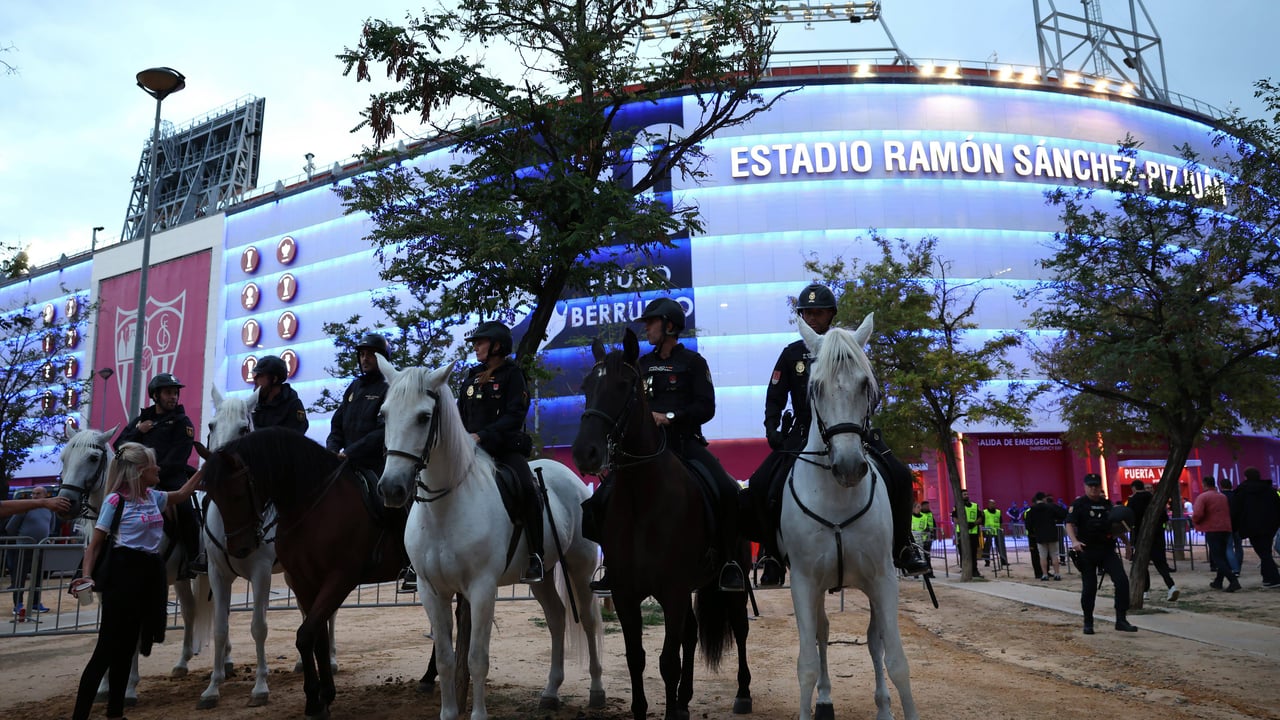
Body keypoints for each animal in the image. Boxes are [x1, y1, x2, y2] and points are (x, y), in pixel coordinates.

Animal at [197, 387, 337, 710]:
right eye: (211, 425)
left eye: (243, 428)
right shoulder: (217, 574)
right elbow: (221, 628)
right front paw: (212, 688)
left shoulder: (260, 573)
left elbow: (258, 627)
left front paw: (260, 687)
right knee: (308, 610)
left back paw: (333, 659)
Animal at [198, 425, 420, 719]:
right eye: (212, 495)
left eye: (236, 495)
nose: (240, 548)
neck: (314, 505)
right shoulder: (304, 581)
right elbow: (316, 638)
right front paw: (324, 696)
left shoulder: (339, 578)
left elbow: (304, 636)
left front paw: (313, 701)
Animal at [375, 355, 606, 720]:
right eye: (384, 414)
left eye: (424, 417)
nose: (391, 489)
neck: (445, 507)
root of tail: (573, 478)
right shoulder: (431, 591)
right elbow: (446, 659)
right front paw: (448, 713)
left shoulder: (482, 589)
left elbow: (476, 659)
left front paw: (478, 715)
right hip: (540, 576)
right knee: (556, 619)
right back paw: (550, 692)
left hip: (580, 568)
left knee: (588, 620)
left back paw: (596, 690)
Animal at [571, 329, 753, 720]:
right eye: (586, 385)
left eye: (624, 386)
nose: (585, 452)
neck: (642, 499)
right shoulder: (626, 594)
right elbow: (636, 658)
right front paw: (650, 709)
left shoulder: (672, 590)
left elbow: (668, 661)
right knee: (692, 633)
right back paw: (683, 700)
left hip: (733, 579)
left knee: (740, 628)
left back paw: (742, 693)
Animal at [780, 315, 918, 720]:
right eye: (815, 387)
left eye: (866, 385)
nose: (850, 467)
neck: (837, 497)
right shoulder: (803, 582)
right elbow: (807, 663)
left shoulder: (883, 578)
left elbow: (897, 660)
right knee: (823, 633)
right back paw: (826, 700)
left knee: (874, 642)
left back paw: (883, 708)